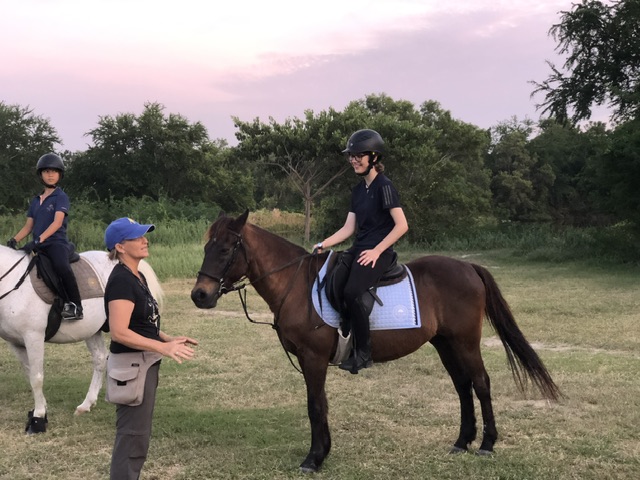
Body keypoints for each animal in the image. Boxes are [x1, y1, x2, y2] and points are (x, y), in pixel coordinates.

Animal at [0, 244, 162, 433]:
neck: (12, 283)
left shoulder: (34, 336)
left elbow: (37, 378)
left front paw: (38, 417)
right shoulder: (16, 343)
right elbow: (29, 374)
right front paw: (42, 409)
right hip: (92, 331)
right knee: (100, 359)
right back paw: (87, 404)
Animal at [190, 211, 560, 473]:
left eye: (225, 249)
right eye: (207, 247)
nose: (200, 295)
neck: (297, 285)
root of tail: (469, 267)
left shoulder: (313, 358)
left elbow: (314, 406)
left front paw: (313, 459)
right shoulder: (314, 361)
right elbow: (321, 404)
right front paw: (323, 453)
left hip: (466, 342)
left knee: (481, 383)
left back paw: (486, 443)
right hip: (445, 344)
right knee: (462, 385)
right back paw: (462, 440)